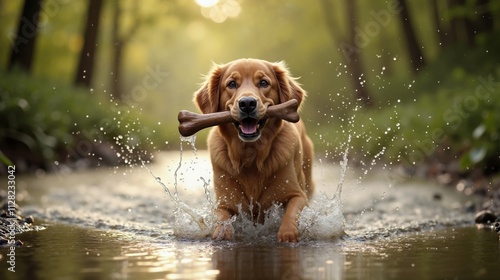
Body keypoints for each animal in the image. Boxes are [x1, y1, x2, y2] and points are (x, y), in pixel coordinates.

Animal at [192, 58, 312, 242]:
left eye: (263, 83)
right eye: (232, 84)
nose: (247, 103)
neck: (251, 154)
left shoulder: (297, 194)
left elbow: (292, 213)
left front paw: (287, 234)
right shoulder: (224, 201)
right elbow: (221, 217)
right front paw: (222, 232)